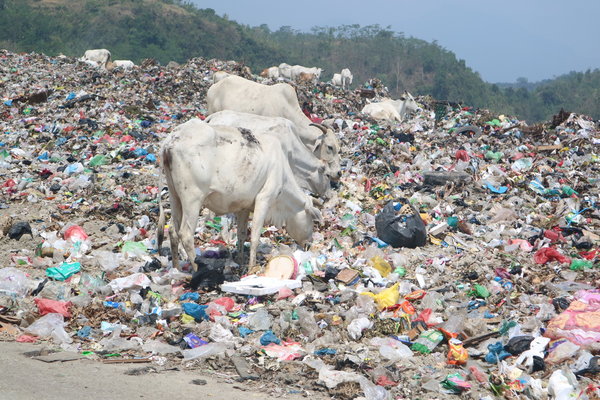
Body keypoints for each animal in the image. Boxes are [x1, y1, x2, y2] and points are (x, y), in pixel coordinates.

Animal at [157, 117, 322, 270]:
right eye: (312, 221)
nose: (309, 244)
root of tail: (171, 140)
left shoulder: (244, 207)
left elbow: (242, 234)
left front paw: (241, 261)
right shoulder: (265, 199)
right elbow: (254, 236)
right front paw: (251, 268)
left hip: (175, 196)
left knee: (173, 231)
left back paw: (177, 269)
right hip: (192, 199)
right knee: (186, 234)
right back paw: (197, 269)